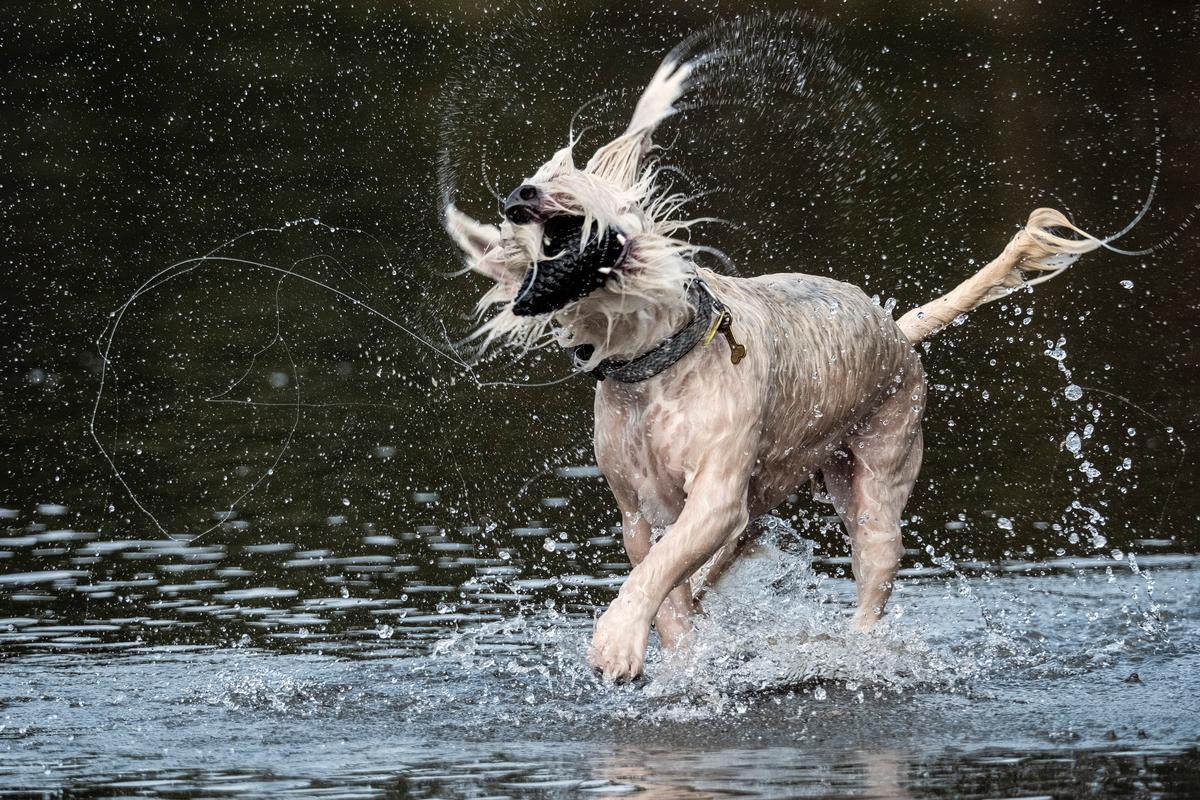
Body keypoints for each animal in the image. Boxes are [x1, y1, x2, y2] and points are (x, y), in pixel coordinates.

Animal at [444, 57, 1104, 681]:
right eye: (532, 183)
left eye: (569, 178)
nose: (520, 197)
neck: (654, 368)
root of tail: (896, 328)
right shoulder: (637, 510)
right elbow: (663, 582)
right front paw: (680, 661)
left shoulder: (714, 495)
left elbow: (656, 571)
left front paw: (616, 642)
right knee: (732, 551)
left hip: (877, 489)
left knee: (870, 576)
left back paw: (854, 649)